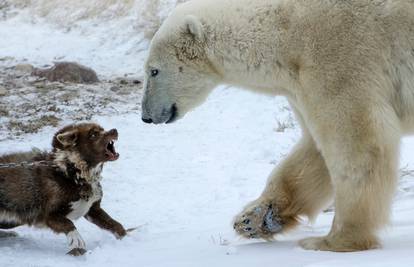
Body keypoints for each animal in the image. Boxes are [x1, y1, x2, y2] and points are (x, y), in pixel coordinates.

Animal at [0, 122, 127, 256]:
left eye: (102, 129)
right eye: (93, 134)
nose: (114, 130)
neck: (72, 173)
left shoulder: (93, 210)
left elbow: (114, 224)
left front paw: (126, 239)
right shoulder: (49, 215)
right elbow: (68, 224)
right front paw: (76, 239)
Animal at [141, 0, 414, 253]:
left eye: (153, 71)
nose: (146, 116)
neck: (284, 31)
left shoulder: (339, 59)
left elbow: (358, 144)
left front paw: (333, 240)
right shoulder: (300, 85)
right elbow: (312, 151)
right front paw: (255, 218)